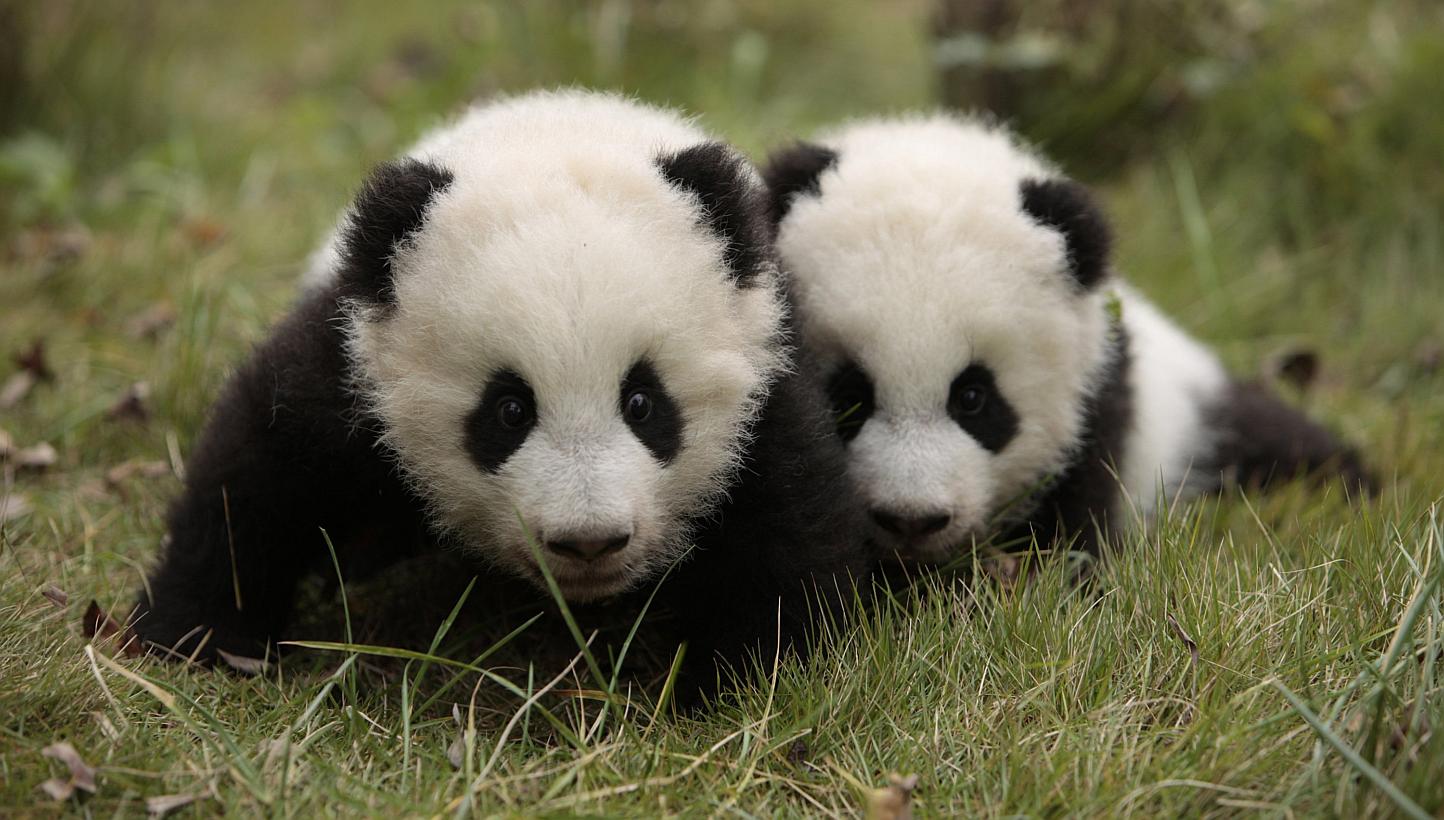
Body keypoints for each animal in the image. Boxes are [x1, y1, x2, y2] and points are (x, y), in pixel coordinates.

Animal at [132, 90, 870, 696]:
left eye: (643, 403)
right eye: (509, 410)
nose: (588, 541)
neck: (550, 132)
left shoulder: (763, 369)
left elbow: (789, 532)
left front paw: (733, 685)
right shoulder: (353, 363)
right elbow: (260, 471)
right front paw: (193, 637)